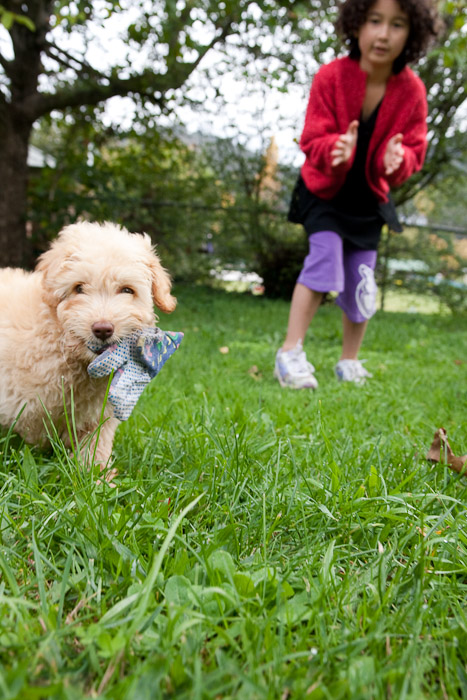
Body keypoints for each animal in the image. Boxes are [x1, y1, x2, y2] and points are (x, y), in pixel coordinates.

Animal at [0, 220, 176, 470]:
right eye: (79, 288)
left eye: (127, 290)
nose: (102, 329)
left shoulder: (96, 416)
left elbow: (95, 448)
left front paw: (97, 476)